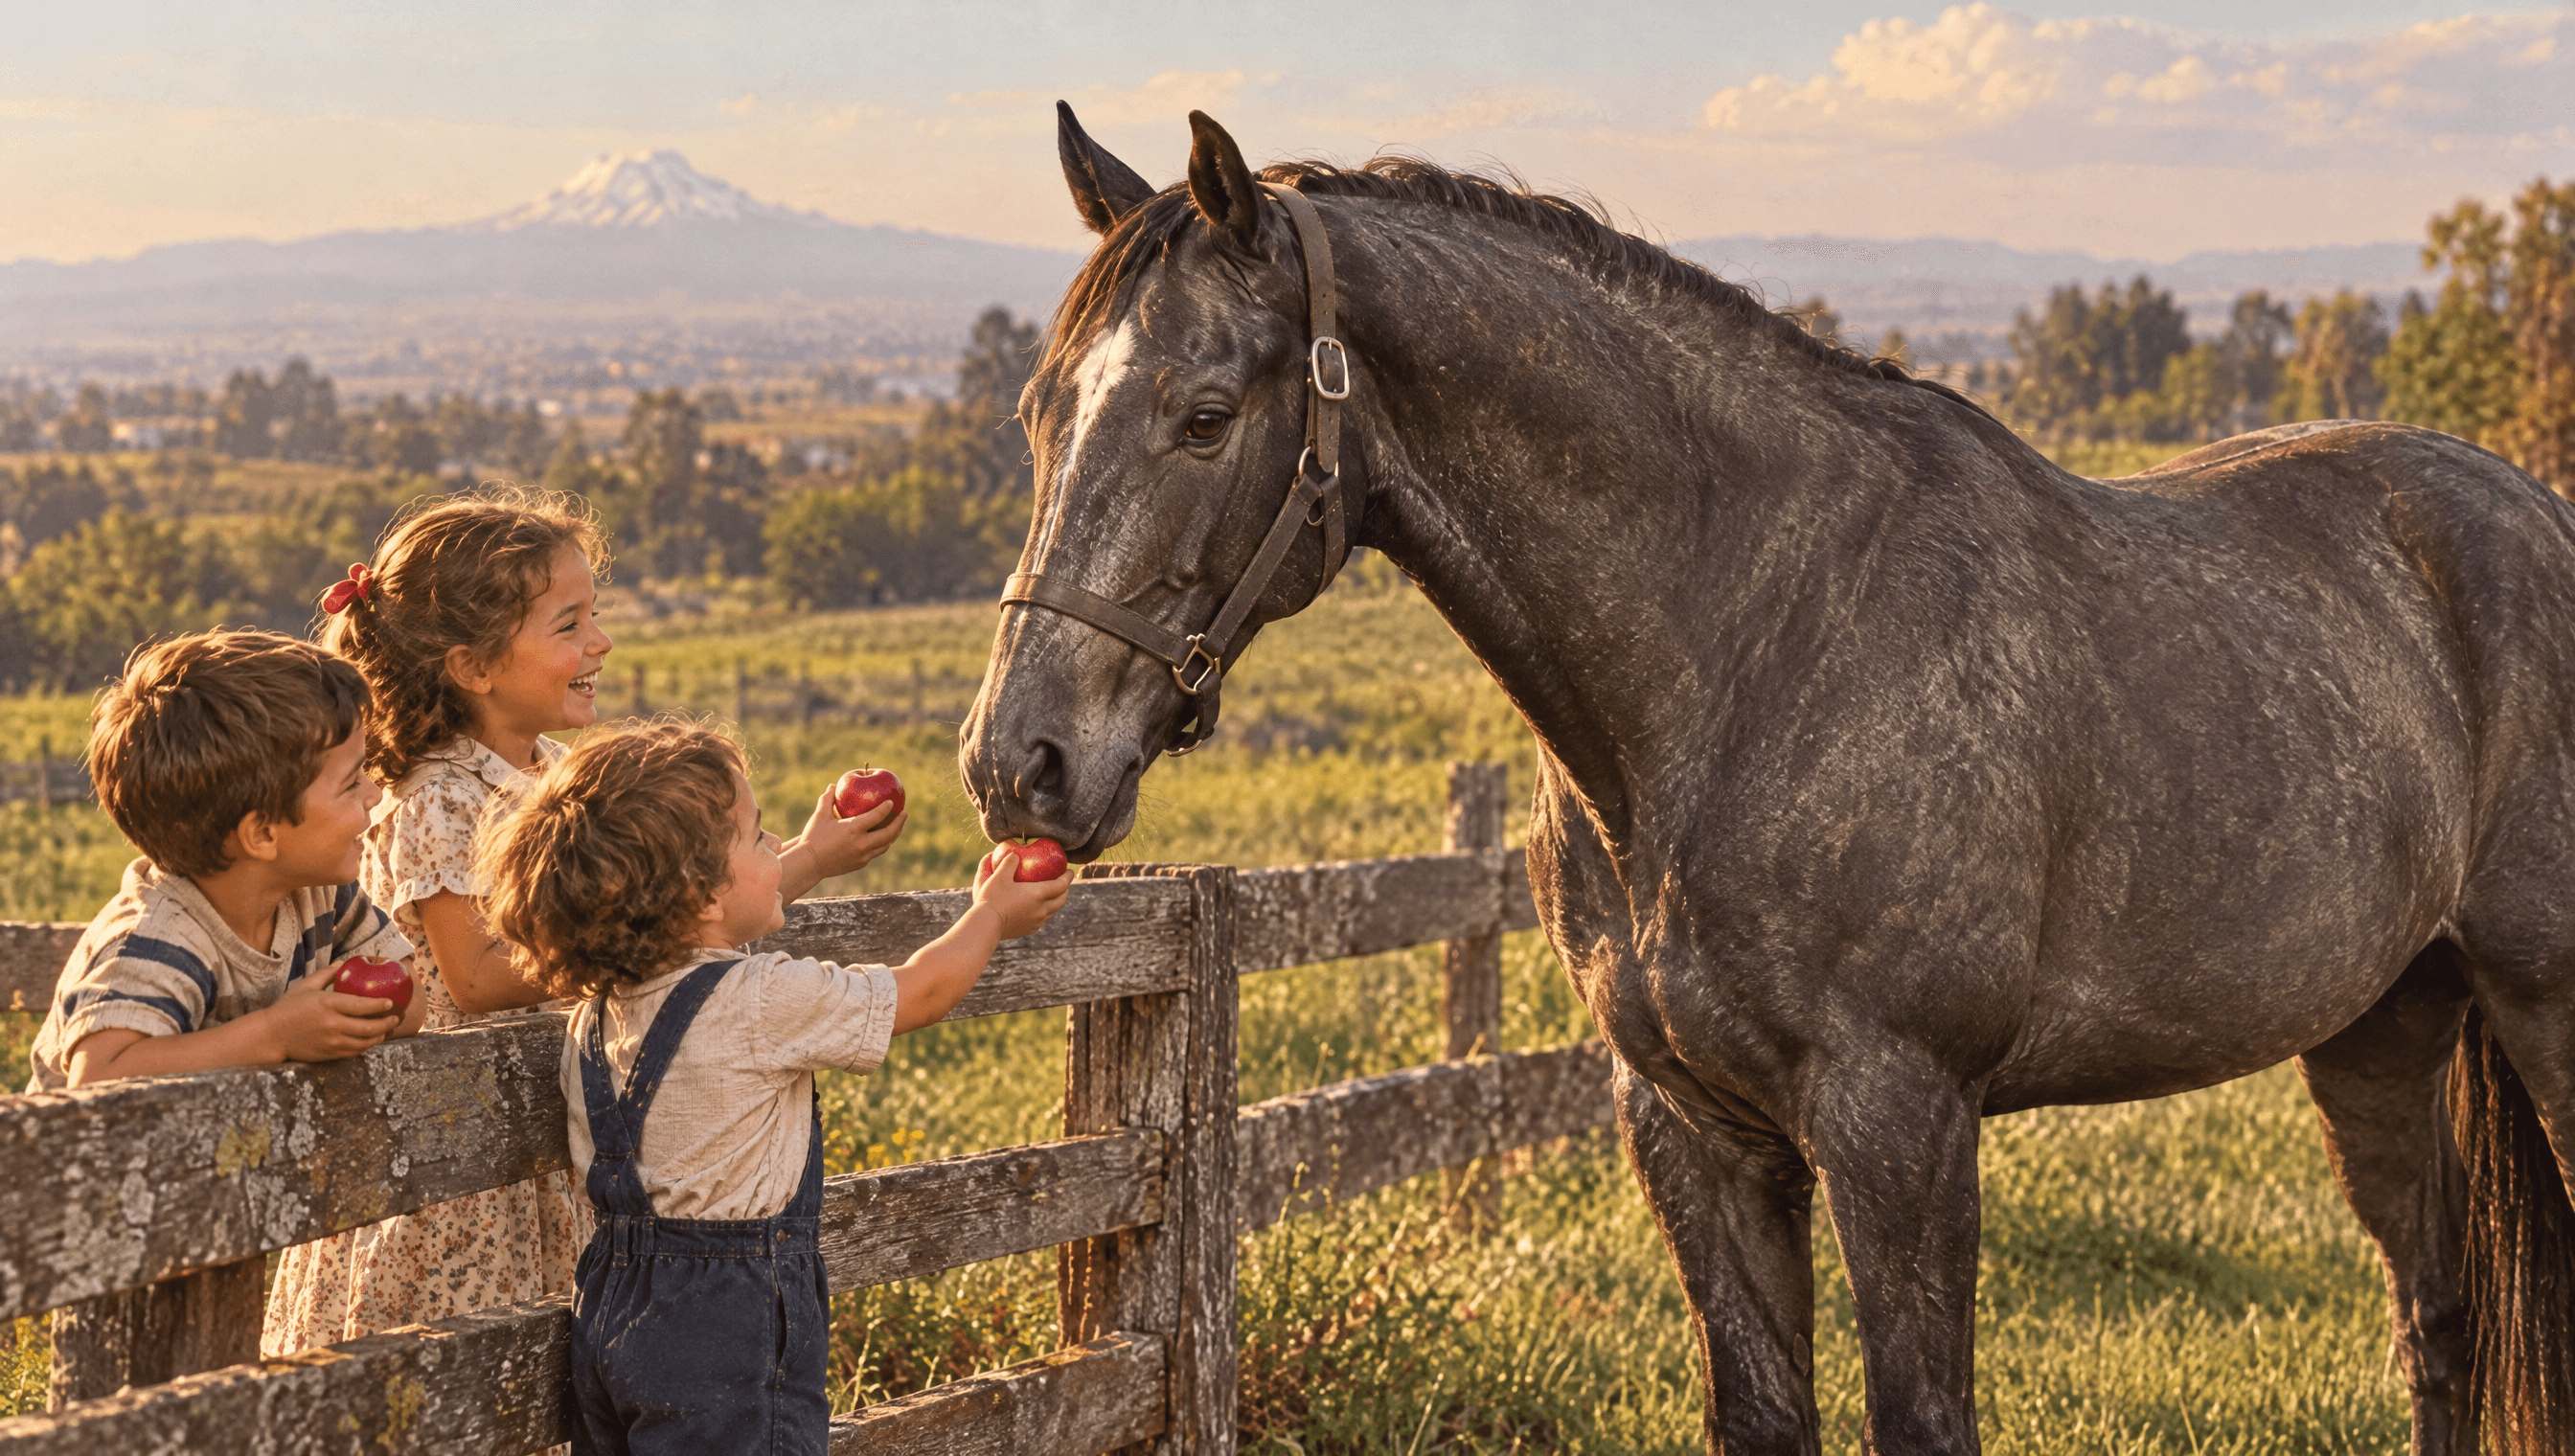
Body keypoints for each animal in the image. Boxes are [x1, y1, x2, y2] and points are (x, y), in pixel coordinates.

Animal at [958, 105, 2575, 1455]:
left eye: (1206, 412)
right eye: (1038, 413)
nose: (1020, 763)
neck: (1743, 650)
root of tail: (2525, 512)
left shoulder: (1899, 1124)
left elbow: (1922, 1422)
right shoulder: (1694, 1129)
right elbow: (1761, 1416)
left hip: (2537, 1006)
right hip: (2379, 1028)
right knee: (2438, 1319)